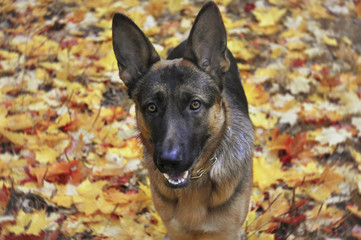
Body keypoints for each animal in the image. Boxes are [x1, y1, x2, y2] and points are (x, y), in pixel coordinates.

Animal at [112, 2, 253, 240]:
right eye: (152, 107)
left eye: (195, 104)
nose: (169, 161)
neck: (195, 184)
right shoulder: (175, 231)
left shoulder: (227, 232)